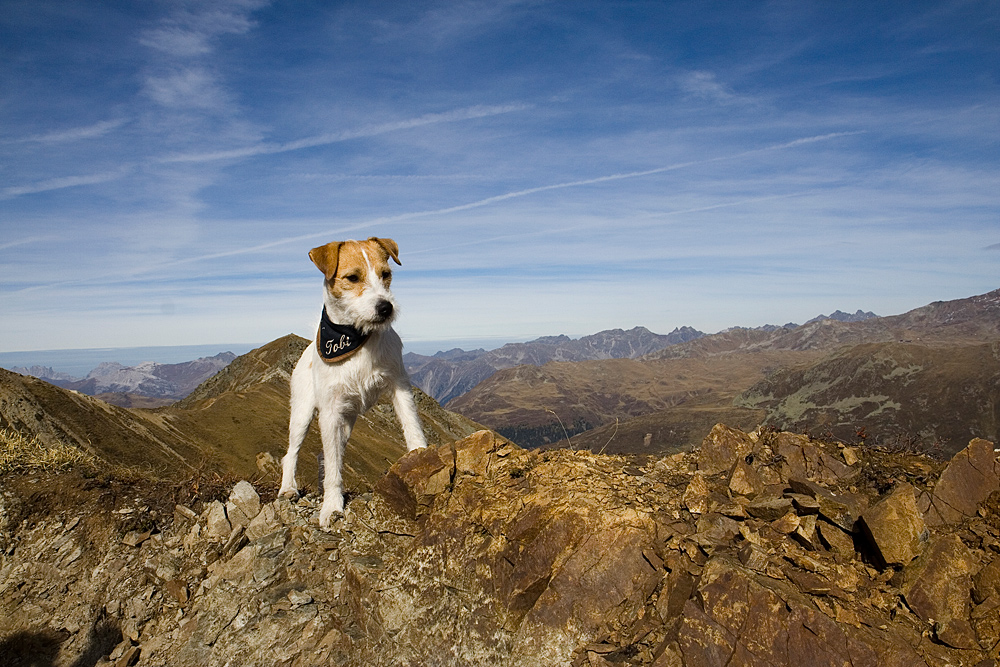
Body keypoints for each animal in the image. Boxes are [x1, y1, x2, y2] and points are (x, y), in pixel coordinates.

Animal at [280, 236, 428, 528]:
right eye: (352, 277)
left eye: (386, 274)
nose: (385, 307)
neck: (356, 337)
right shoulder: (329, 414)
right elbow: (333, 470)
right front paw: (331, 507)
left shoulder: (399, 386)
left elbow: (411, 425)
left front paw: (421, 455)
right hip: (303, 415)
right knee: (292, 453)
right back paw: (288, 488)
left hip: (346, 424)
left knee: (330, 454)